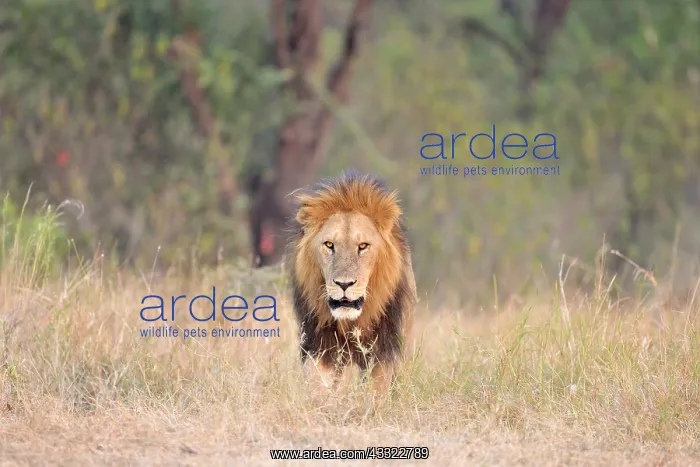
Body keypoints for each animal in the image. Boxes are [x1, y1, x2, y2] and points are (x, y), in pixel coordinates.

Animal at [286, 172, 418, 394]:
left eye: (363, 246)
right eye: (329, 245)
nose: (344, 284)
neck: (349, 324)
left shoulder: (382, 352)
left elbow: (374, 393)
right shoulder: (318, 347)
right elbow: (318, 387)